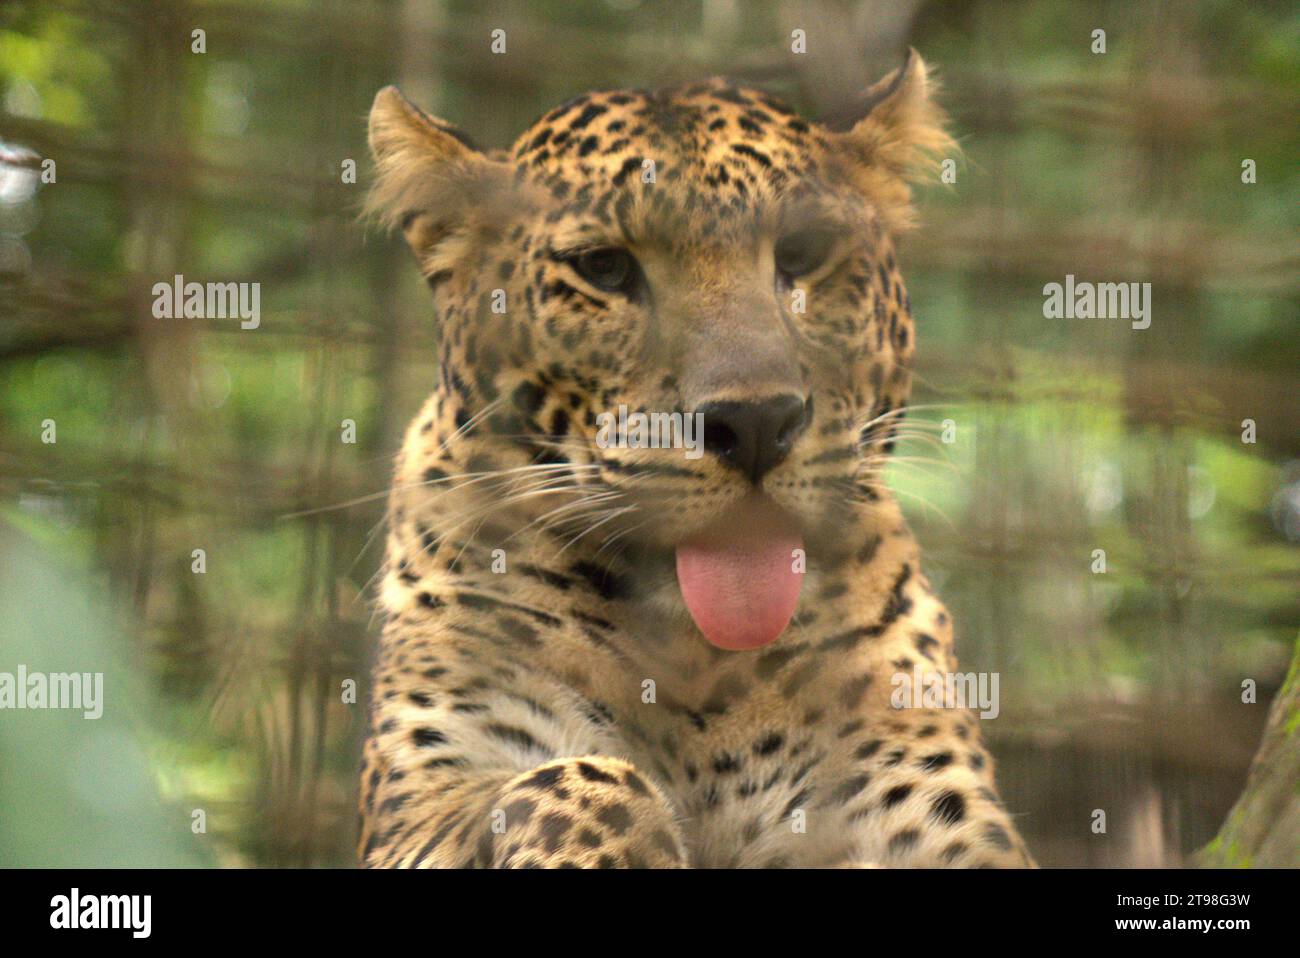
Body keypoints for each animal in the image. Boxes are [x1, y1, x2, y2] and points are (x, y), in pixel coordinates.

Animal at [357, 49, 1035, 869]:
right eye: (604, 268)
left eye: (802, 255)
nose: (757, 422)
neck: (699, 663)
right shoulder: (424, 791)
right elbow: (575, 781)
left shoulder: (929, 807)